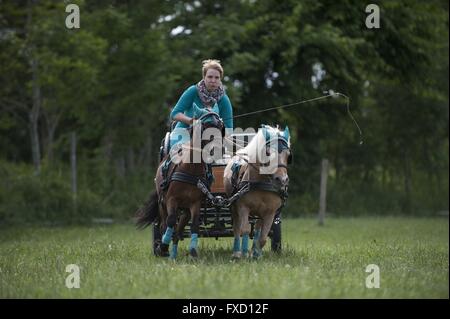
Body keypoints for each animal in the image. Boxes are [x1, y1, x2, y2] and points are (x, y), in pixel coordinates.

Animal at [134, 110, 224, 260]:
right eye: (205, 127)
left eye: (221, 127)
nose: (218, 150)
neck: (190, 169)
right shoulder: (171, 199)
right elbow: (170, 221)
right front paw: (162, 247)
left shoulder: (195, 203)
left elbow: (194, 225)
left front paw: (193, 251)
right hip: (163, 203)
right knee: (164, 224)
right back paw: (163, 249)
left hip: (185, 209)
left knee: (178, 229)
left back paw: (173, 253)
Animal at [222, 125, 292, 260]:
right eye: (268, 152)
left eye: (288, 155)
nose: (282, 180)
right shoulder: (243, 207)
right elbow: (244, 230)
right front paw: (244, 254)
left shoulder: (270, 212)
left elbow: (263, 237)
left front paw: (256, 255)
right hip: (234, 206)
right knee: (237, 228)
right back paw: (236, 253)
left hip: (260, 213)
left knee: (257, 229)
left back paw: (255, 252)